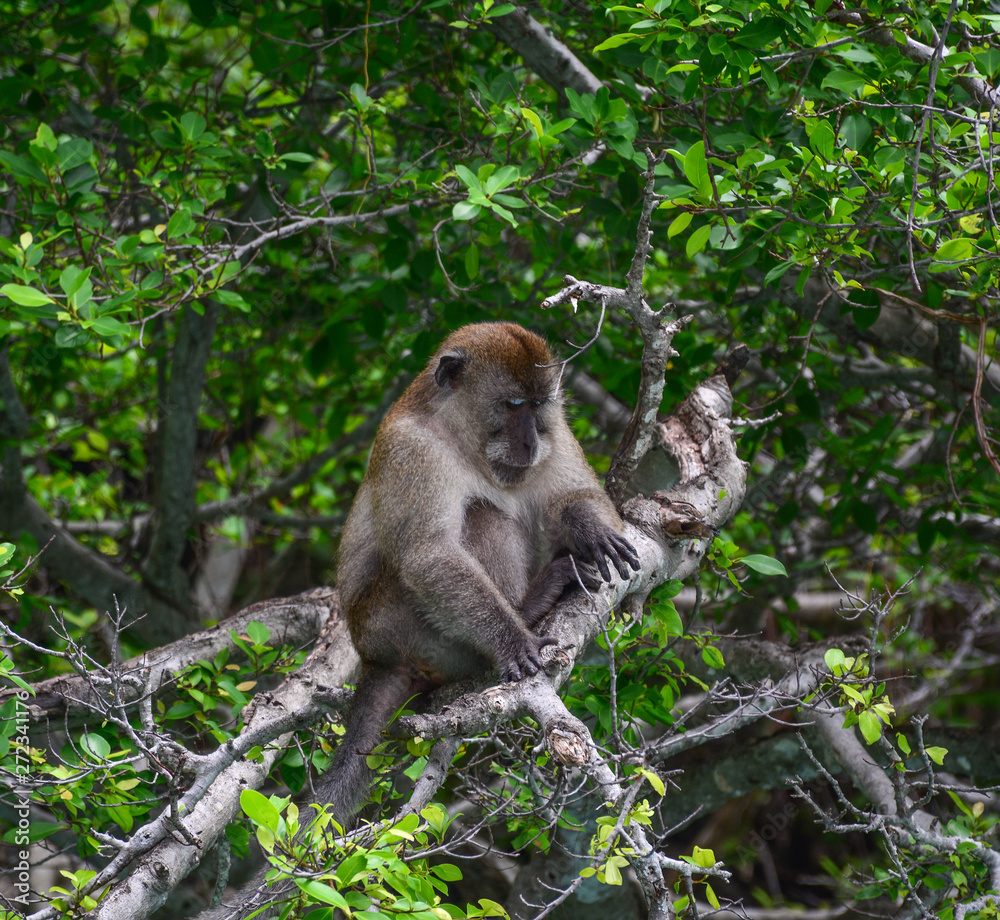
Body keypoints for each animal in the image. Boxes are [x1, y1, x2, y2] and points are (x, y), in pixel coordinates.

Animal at [314, 322, 640, 820]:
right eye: (513, 404)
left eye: (538, 406)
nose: (530, 443)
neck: (463, 440)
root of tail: (374, 656)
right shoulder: (413, 450)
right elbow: (430, 554)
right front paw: (514, 641)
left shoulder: (558, 432)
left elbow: (573, 494)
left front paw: (593, 529)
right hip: (402, 625)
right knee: (484, 515)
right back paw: (530, 607)